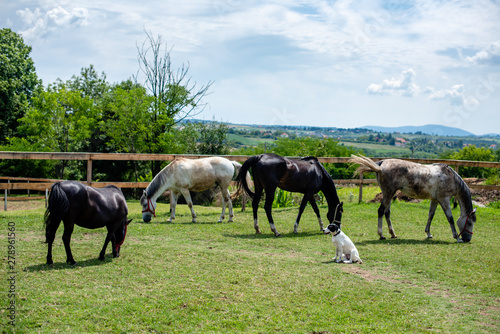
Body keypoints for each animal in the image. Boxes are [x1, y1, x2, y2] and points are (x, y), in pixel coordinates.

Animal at [348, 154, 476, 243]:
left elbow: (431, 215)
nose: (467, 239)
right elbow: (450, 218)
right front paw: (457, 238)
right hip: (388, 193)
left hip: (388, 194)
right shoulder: (444, 200)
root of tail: (381, 164)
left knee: (387, 212)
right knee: (381, 211)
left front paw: (428, 234)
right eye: (469, 222)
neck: (450, 178)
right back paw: (381, 235)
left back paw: (393, 234)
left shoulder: (435, 200)